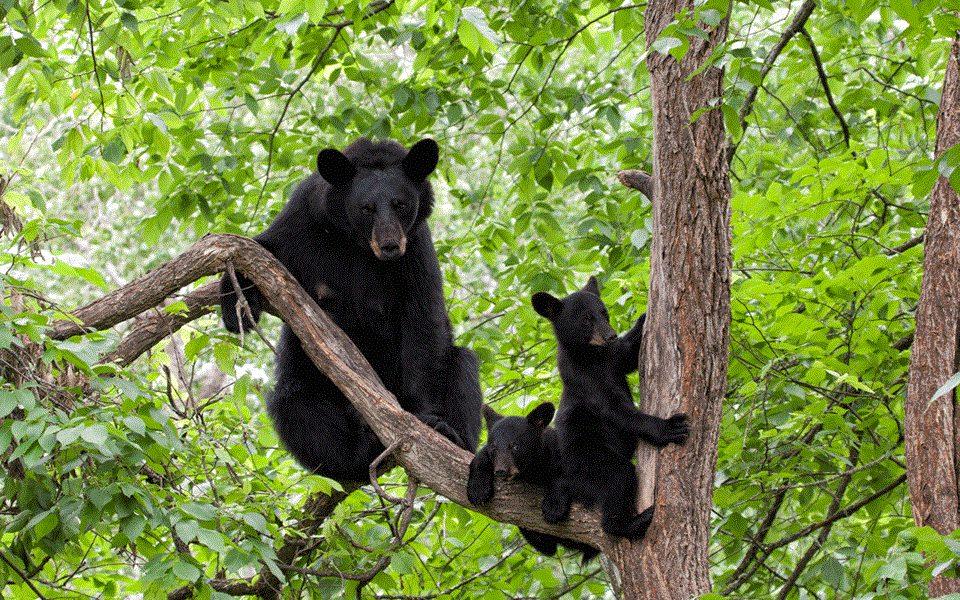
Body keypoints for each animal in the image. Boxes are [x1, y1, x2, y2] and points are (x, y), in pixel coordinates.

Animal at [218, 137, 480, 482]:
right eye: (366, 208)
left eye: (400, 204)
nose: (390, 246)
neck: (357, 244)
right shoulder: (303, 221)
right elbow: (263, 248)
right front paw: (236, 306)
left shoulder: (416, 248)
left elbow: (423, 319)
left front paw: (427, 418)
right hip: (309, 383)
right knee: (295, 405)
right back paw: (355, 452)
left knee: (462, 366)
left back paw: (453, 436)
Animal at [466, 404, 596, 564]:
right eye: (494, 448)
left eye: (515, 446)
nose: (501, 470)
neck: (531, 470)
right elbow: (480, 458)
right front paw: (477, 491)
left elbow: (565, 475)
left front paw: (553, 508)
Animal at [532, 278, 688, 540]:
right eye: (586, 320)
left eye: (604, 313)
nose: (610, 335)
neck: (593, 357)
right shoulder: (583, 379)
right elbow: (615, 409)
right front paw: (668, 427)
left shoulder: (613, 359)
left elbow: (629, 354)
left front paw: (643, 318)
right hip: (587, 457)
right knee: (618, 476)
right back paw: (630, 522)